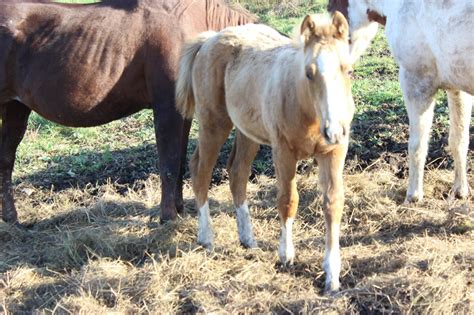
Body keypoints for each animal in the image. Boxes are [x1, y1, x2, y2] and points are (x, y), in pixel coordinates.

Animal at [0, 0, 256, 225]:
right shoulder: (166, 107)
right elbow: (169, 163)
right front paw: (168, 217)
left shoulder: (183, 111)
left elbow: (180, 162)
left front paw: (179, 208)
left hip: (15, 107)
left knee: (6, 159)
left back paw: (12, 219)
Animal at [176, 12, 354, 294]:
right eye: (309, 73)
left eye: (349, 70)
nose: (334, 130)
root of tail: (209, 39)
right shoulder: (283, 152)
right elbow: (288, 200)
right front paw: (286, 256)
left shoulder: (334, 152)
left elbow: (333, 204)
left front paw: (332, 277)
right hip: (214, 122)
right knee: (200, 169)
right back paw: (207, 238)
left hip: (247, 131)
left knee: (237, 172)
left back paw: (247, 238)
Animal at [330, 0, 474, 202]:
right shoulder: (457, 88)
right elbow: (458, 140)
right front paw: (460, 191)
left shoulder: (416, 84)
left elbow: (417, 145)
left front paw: (413, 196)